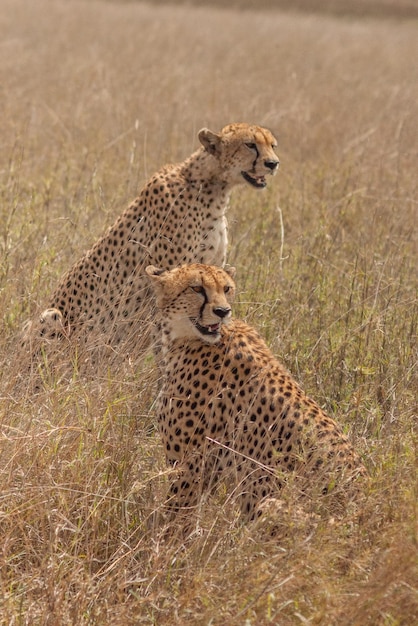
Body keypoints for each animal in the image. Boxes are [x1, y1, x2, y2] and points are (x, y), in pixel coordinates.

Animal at [146, 260, 366, 520]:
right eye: (197, 288)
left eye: (226, 288)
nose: (223, 311)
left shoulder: (189, 467)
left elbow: (174, 520)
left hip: (270, 502)